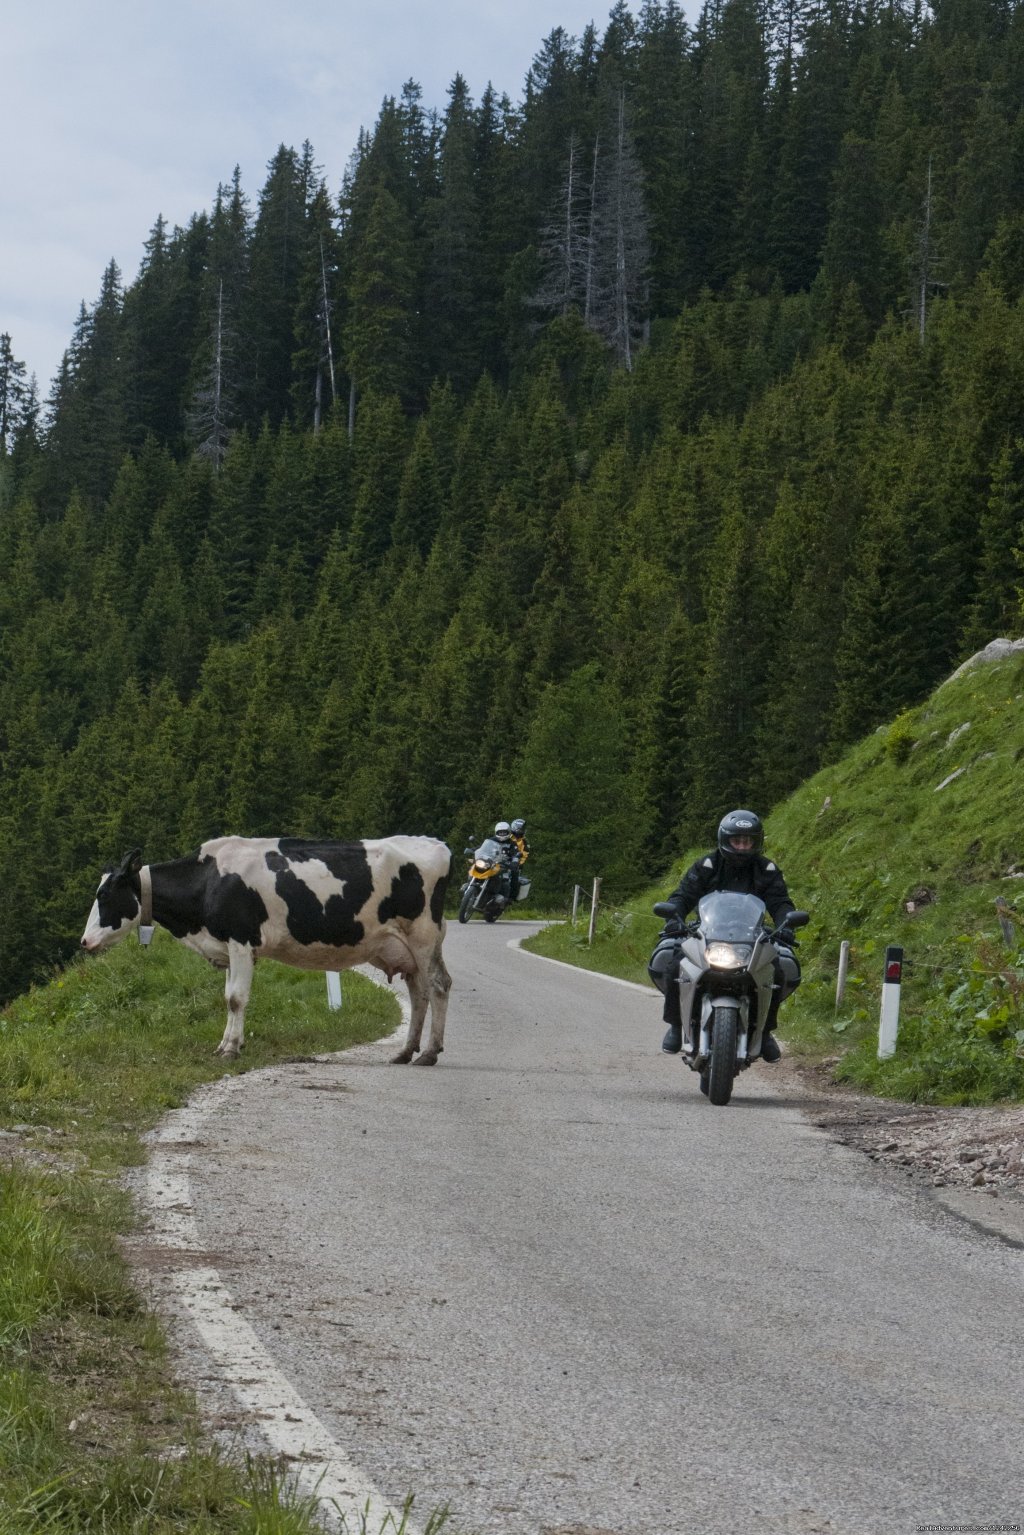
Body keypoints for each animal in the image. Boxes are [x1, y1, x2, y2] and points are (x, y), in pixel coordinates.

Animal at [79, 841, 448, 1068]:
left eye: (104, 894)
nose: (83, 941)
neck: (209, 881)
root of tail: (436, 845)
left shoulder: (241, 941)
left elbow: (236, 998)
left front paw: (230, 1049)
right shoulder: (229, 946)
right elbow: (228, 997)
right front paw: (226, 1044)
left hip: (423, 938)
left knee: (438, 985)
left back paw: (429, 1053)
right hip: (410, 948)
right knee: (419, 993)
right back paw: (405, 1051)